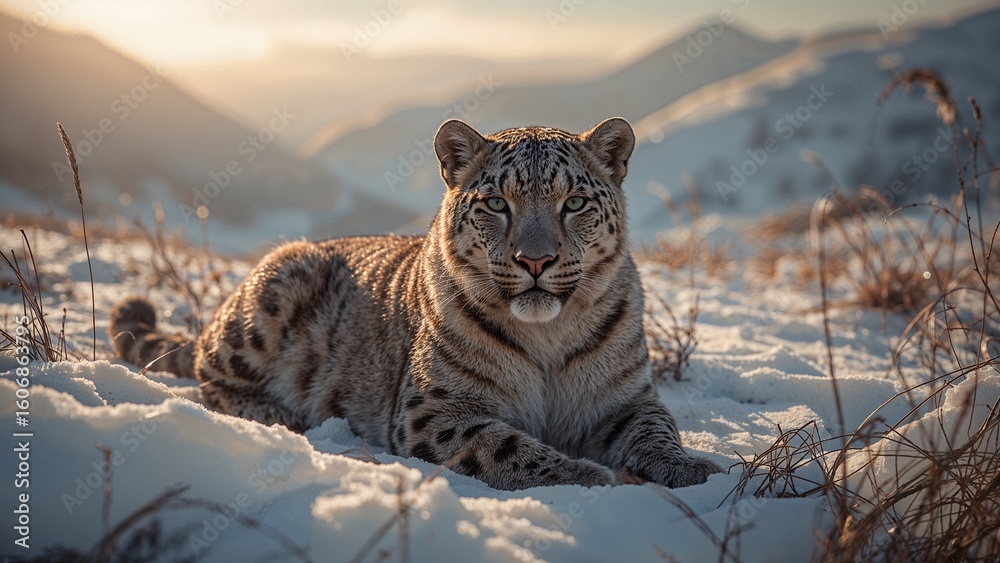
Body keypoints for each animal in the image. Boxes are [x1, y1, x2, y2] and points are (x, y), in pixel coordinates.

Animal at [110, 117, 723, 490]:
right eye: (496, 203)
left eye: (574, 203)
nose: (535, 260)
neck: (548, 339)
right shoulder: (435, 412)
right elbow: (506, 445)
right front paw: (590, 475)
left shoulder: (626, 398)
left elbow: (656, 431)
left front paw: (696, 468)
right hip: (272, 293)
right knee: (209, 375)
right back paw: (284, 414)